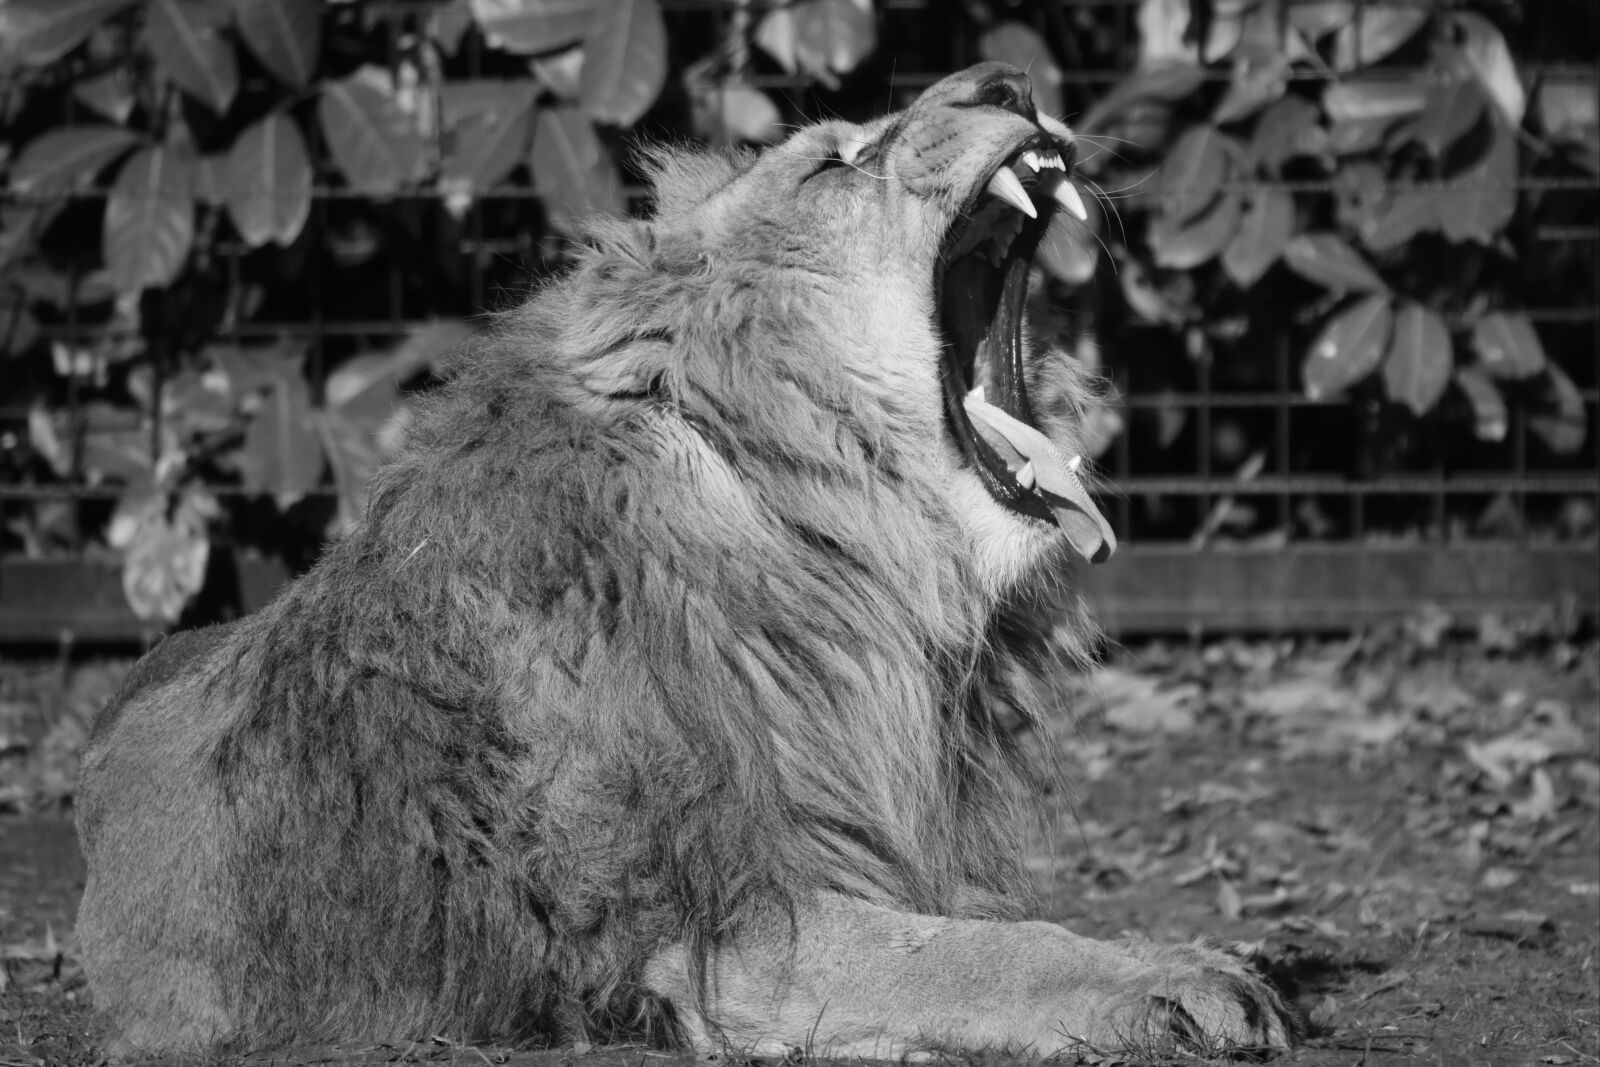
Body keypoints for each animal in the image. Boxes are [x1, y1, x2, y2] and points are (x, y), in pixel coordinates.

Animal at [75, 63, 1294, 1058]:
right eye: (836, 160)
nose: (1011, 78)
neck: (832, 553)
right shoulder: (724, 929)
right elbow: (974, 953)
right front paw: (1177, 974)